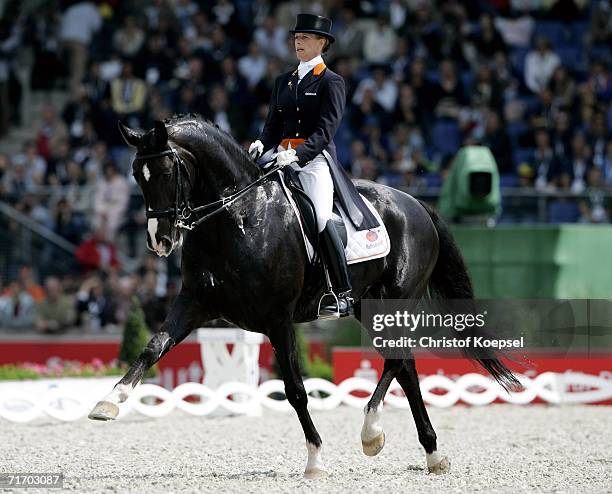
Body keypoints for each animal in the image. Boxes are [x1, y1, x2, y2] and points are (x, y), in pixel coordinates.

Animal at [88, 115, 520, 478]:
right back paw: (431, 454)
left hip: (394, 300)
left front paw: (315, 460)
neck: (239, 218)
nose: (159, 240)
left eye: (165, 171)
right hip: (367, 306)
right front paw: (108, 402)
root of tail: (417, 204)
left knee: (398, 360)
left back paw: (371, 433)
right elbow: (153, 346)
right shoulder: (195, 303)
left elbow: (295, 391)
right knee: (406, 366)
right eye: (136, 174)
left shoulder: (278, 319)